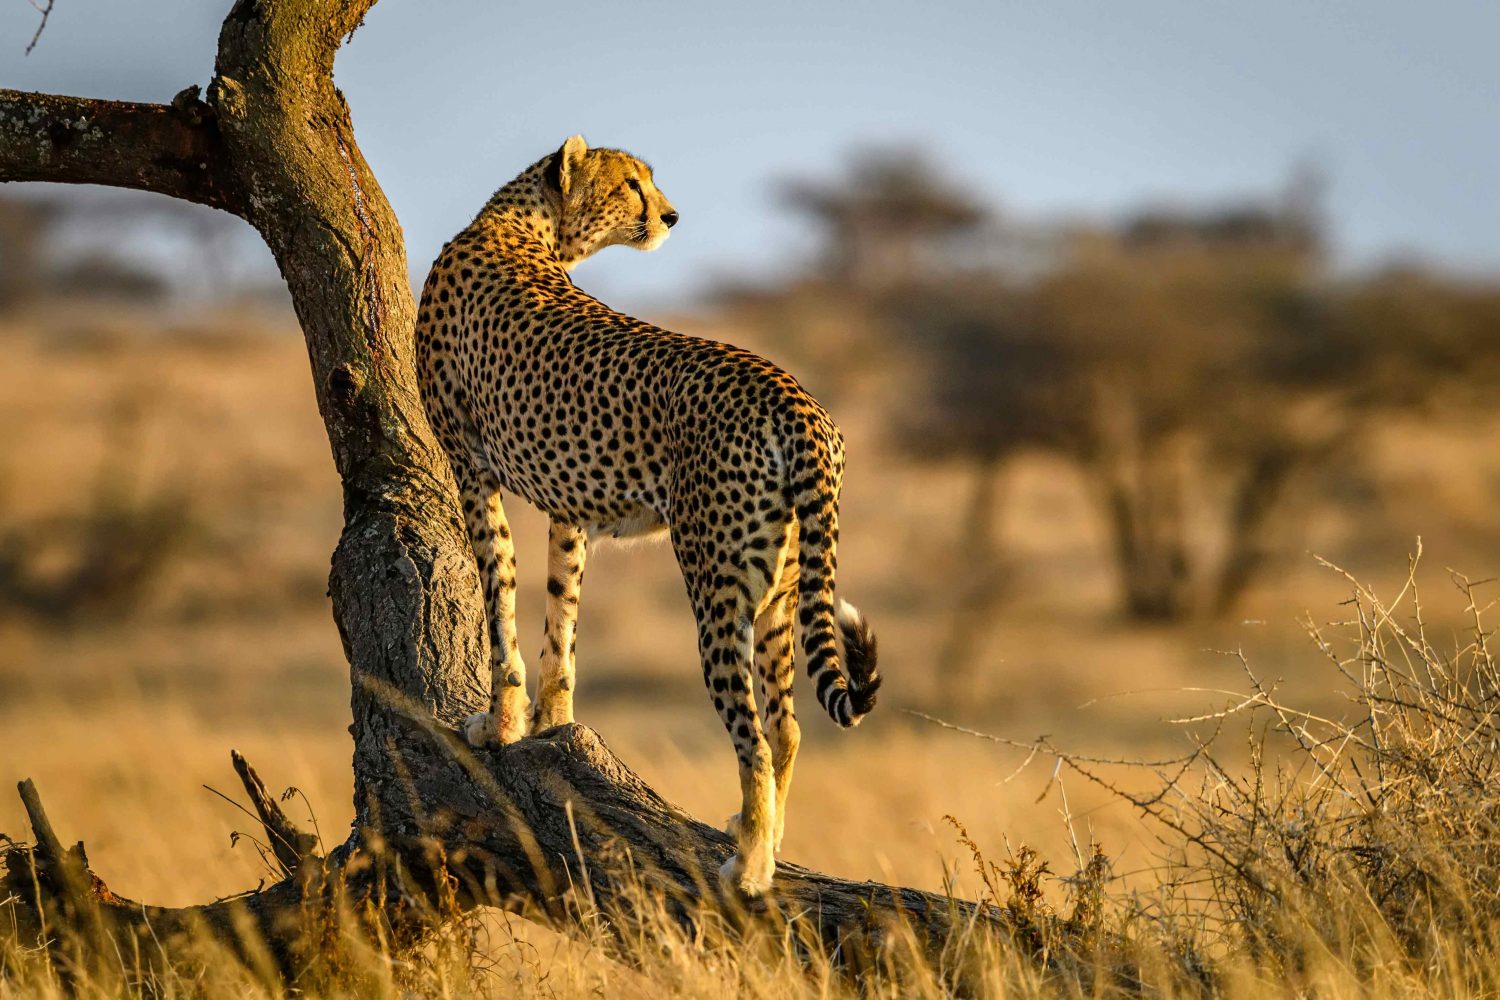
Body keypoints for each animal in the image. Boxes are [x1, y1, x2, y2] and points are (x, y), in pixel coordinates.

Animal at [414, 137, 876, 893]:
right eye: (632, 182)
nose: (671, 214)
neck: (520, 225)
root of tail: (794, 396)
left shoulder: (471, 465)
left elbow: (499, 600)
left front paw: (499, 724)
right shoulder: (567, 505)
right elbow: (561, 617)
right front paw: (554, 722)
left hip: (717, 587)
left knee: (751, 733)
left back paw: (748, 865)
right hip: (783, 589)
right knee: (787, 727)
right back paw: (765, 838)